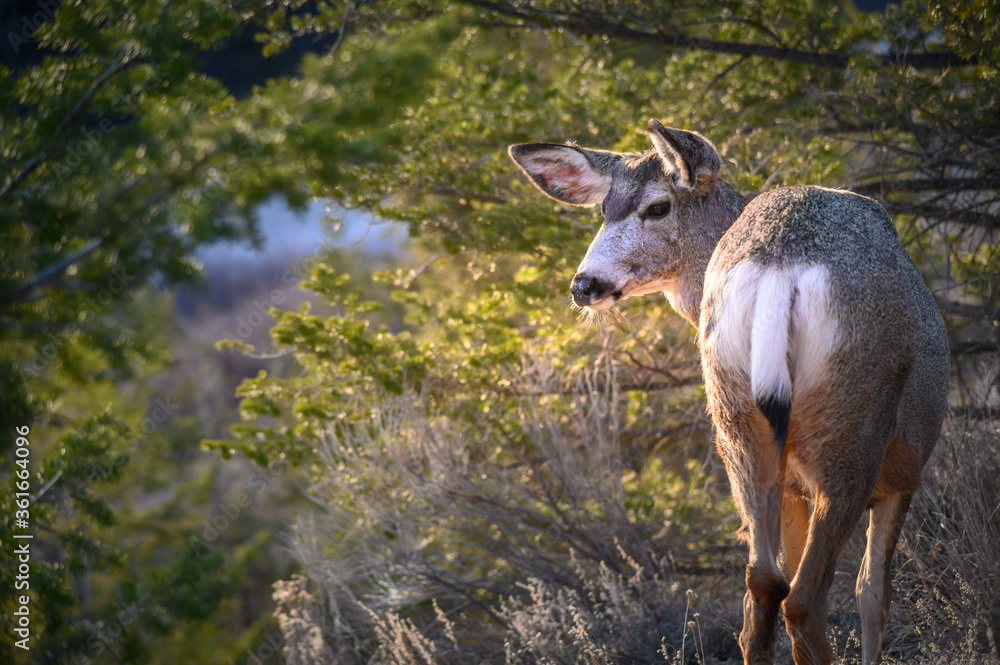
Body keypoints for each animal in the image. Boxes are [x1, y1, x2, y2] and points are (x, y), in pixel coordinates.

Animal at [508, 120, 949, 665]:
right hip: (855, 428)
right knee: (806, 597)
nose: (584, 284)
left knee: (764, 583)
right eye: (603, 208)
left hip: (735, 420)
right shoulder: (907, 467)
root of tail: (781, 265)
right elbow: (874, 593)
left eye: (657, 206)